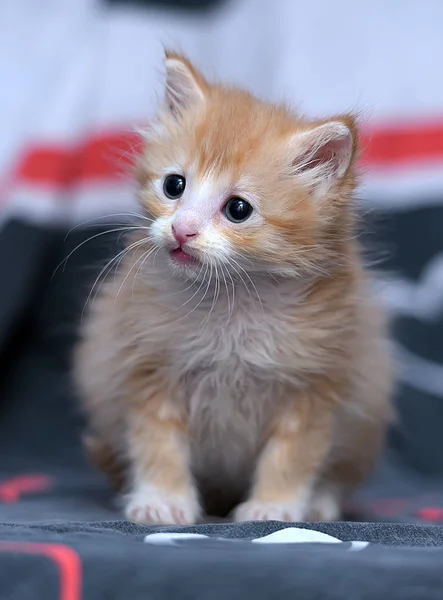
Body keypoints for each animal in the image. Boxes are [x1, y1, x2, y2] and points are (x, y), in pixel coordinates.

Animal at [74, 51, 394, 524]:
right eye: (174, 185)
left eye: (238, 209)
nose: (182, 229)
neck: (231, 301)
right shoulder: (147, 366)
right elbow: (157, 443)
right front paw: (162, 500)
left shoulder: (315, 383)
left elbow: (292, 455)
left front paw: (274, 507)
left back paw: (319, 502)